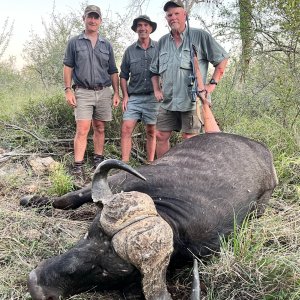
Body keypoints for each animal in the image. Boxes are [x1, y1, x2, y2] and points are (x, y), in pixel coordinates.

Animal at [22, 134, 278, 300]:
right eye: (88, 235)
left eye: (103, 271)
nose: (36, 285)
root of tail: (261, 148)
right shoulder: (119, 180)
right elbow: (67, 199)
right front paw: (31, 200)